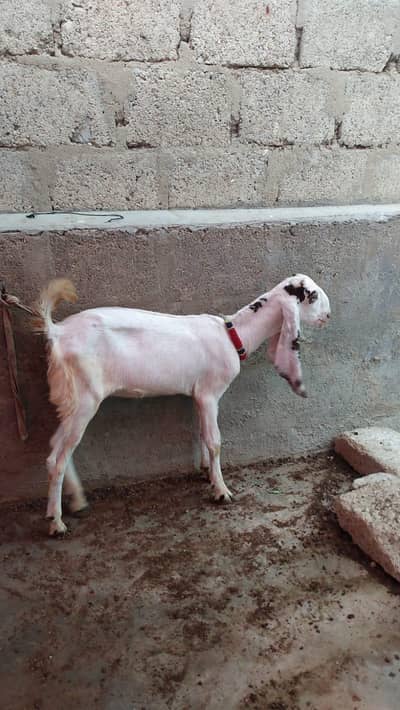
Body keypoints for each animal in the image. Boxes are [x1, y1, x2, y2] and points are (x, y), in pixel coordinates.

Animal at [34, 274, 331, 536]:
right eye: (312, 296)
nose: (328, 316)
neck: (233, 335)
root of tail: (57, 332)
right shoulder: (210, 393)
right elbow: (215, 440)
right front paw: (221, 491)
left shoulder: (198, 394)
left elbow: (201, 433)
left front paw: (207, 472)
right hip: (85, 396)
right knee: (58, 457)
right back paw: (56, 523)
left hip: (72, 400)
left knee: (55, 448)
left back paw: (74, 503)